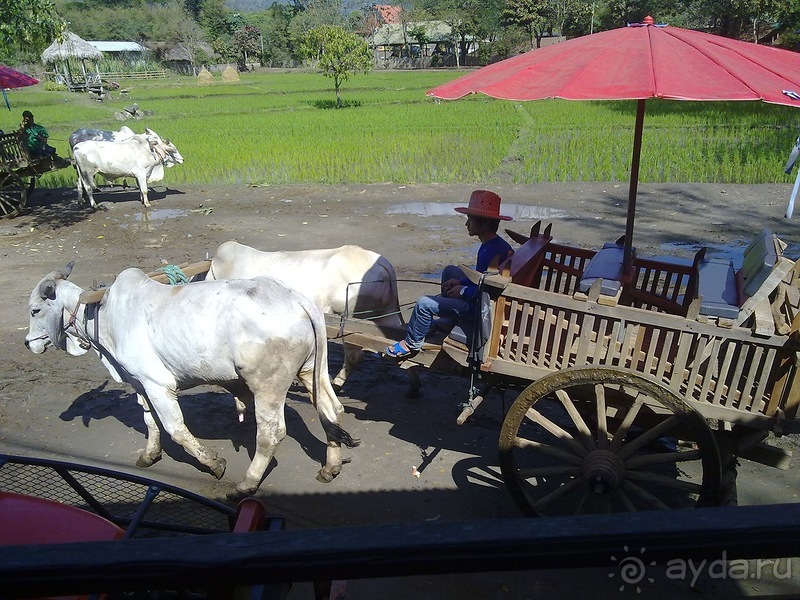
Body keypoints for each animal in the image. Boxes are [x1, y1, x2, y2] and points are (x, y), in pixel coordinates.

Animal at [25, 262, 360, 496]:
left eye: (35, 310)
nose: (29, 343)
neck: (102, 313)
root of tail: (294, 298)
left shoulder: (157, 384)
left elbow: (175, 428)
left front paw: (214, 463)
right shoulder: (139, 383)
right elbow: (150, 421)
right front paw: (149, 455)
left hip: (268, 385)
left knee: (271, 433)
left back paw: (247, 483)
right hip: (312, 371)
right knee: (332, 411)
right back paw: (330, 468)